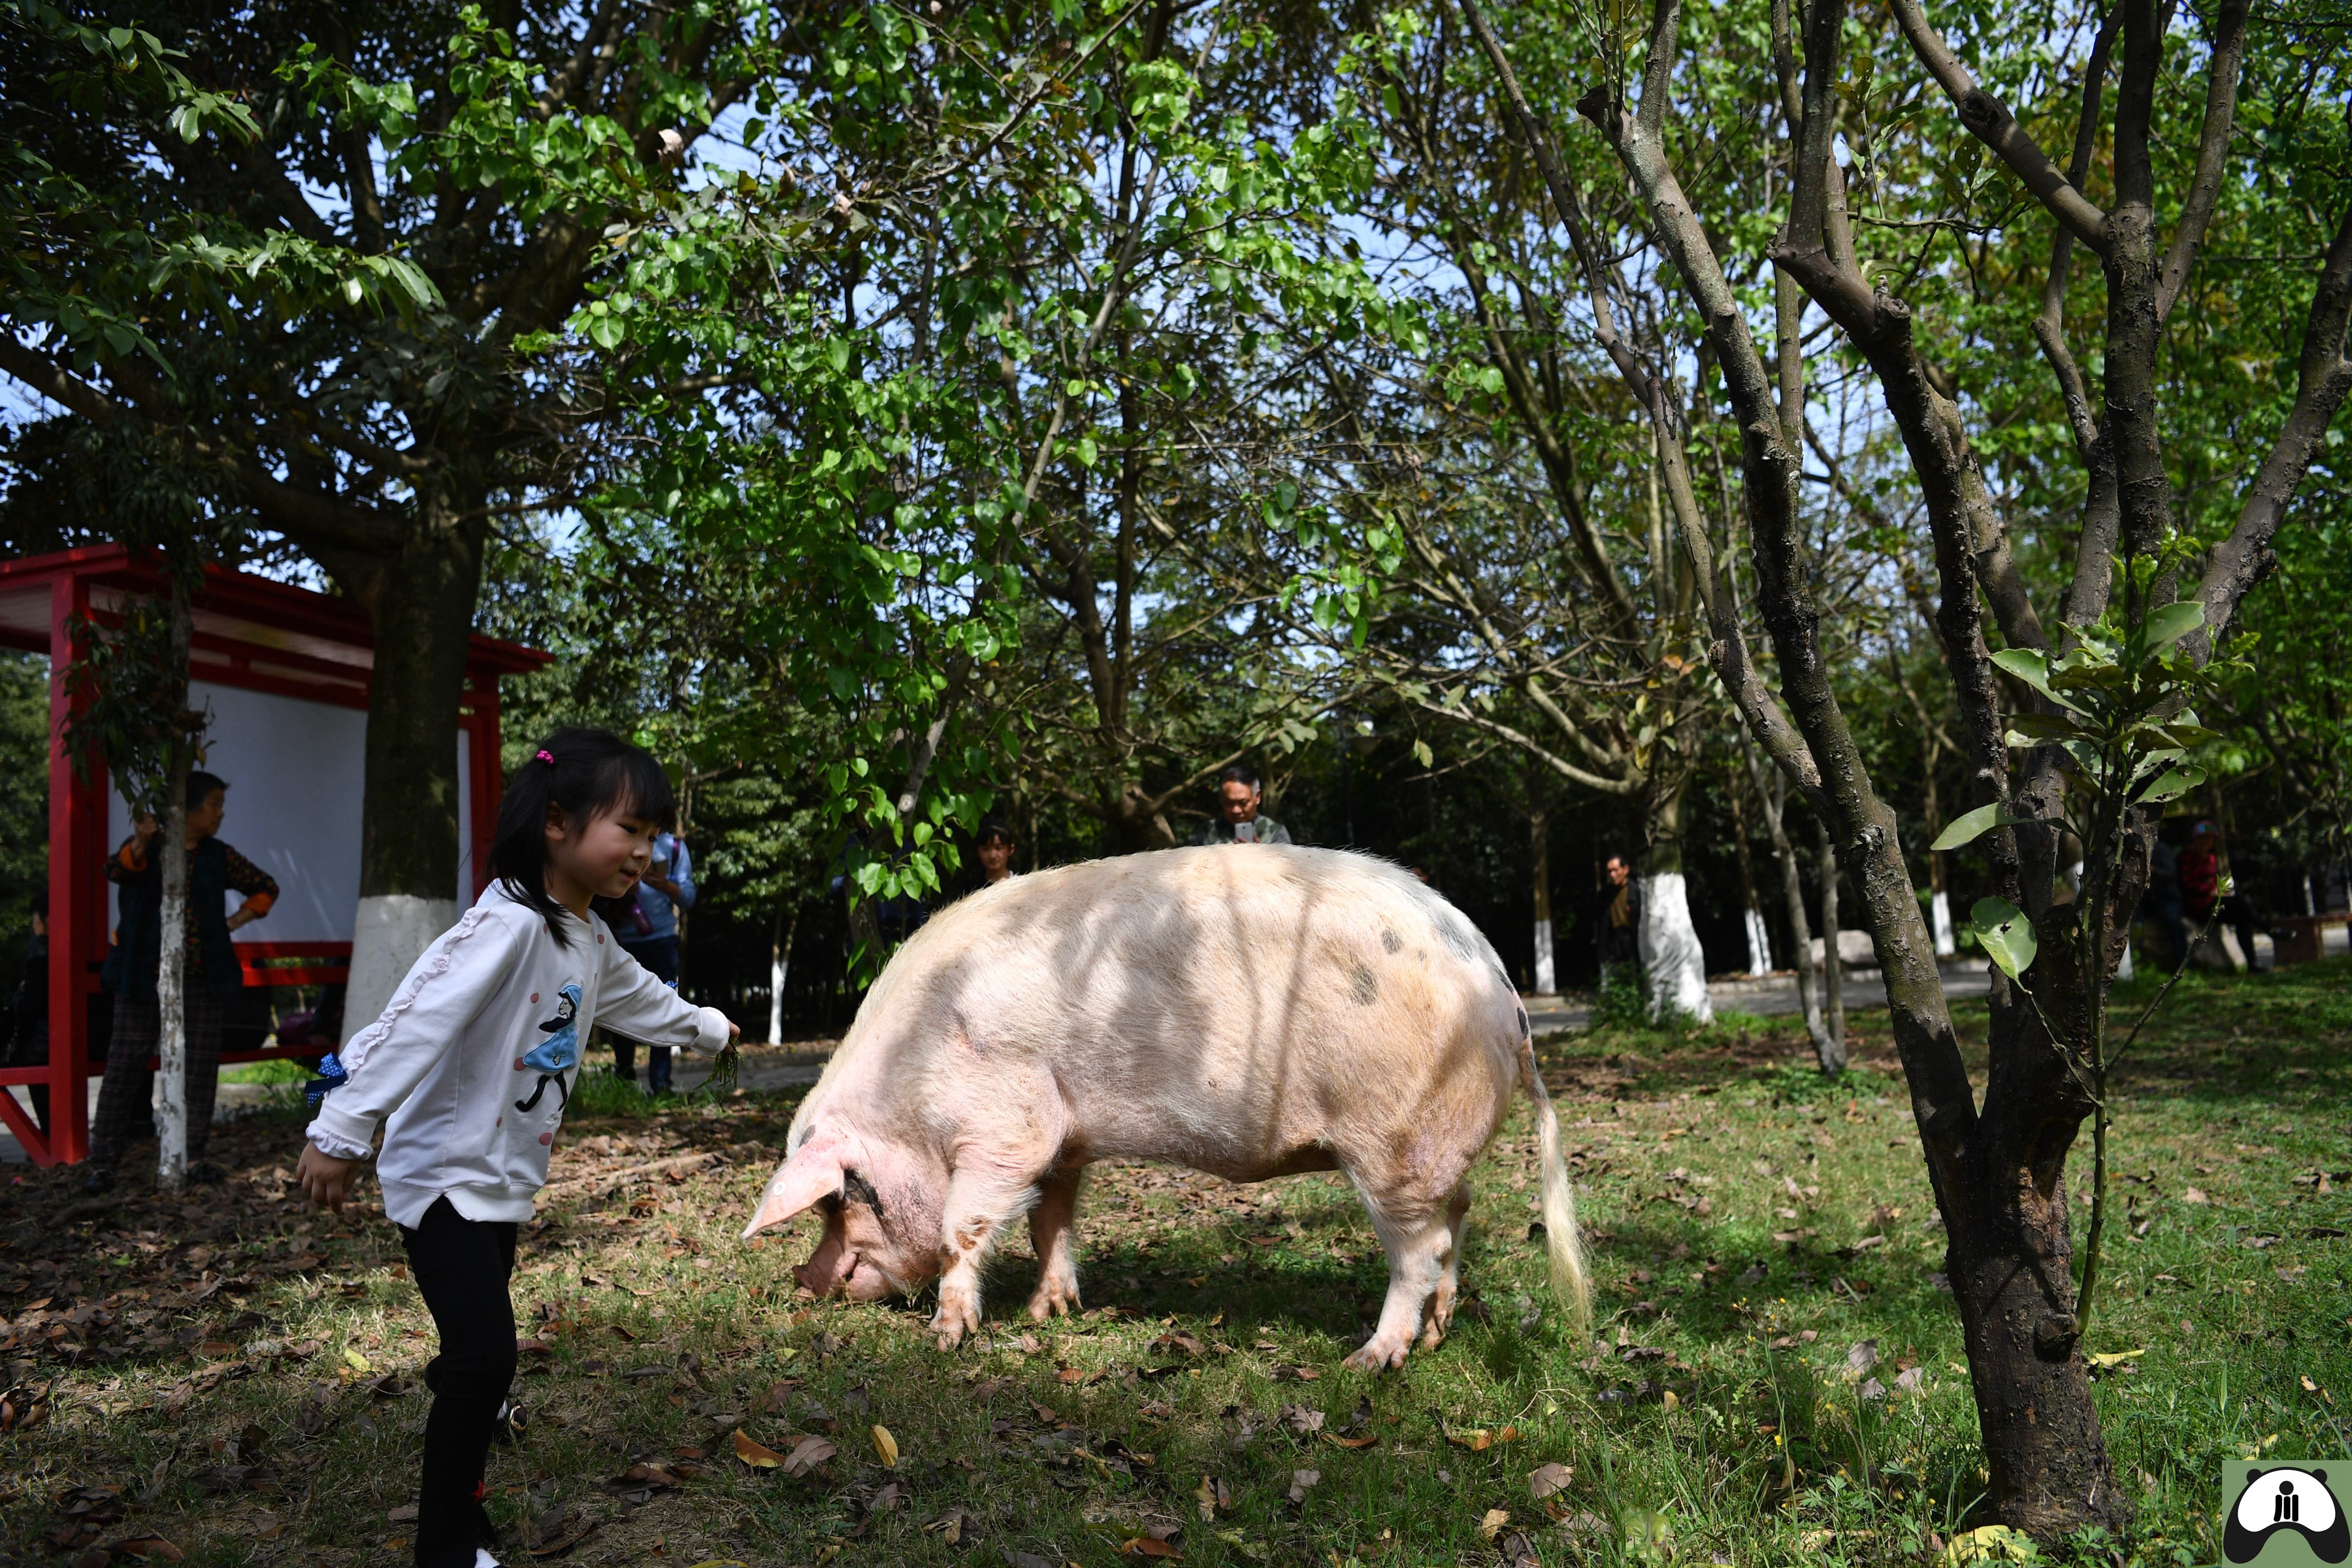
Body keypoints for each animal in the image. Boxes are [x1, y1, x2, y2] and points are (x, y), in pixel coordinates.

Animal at [743, 841, 1590, 1363]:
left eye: (841, 1199)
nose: (803, 1281)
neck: (908, 1089)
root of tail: (1506, 994)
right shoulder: (1067, 1136)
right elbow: (1053, 1220)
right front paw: (1051, 1313)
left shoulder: (1004, 1125)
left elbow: (964, 1227)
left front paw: (948, 1339)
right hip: (1434, 1152)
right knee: (1458, 1221)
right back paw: (1439, 1335)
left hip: (1392, 1147)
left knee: (1419, 1252)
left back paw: (1370, 1359)